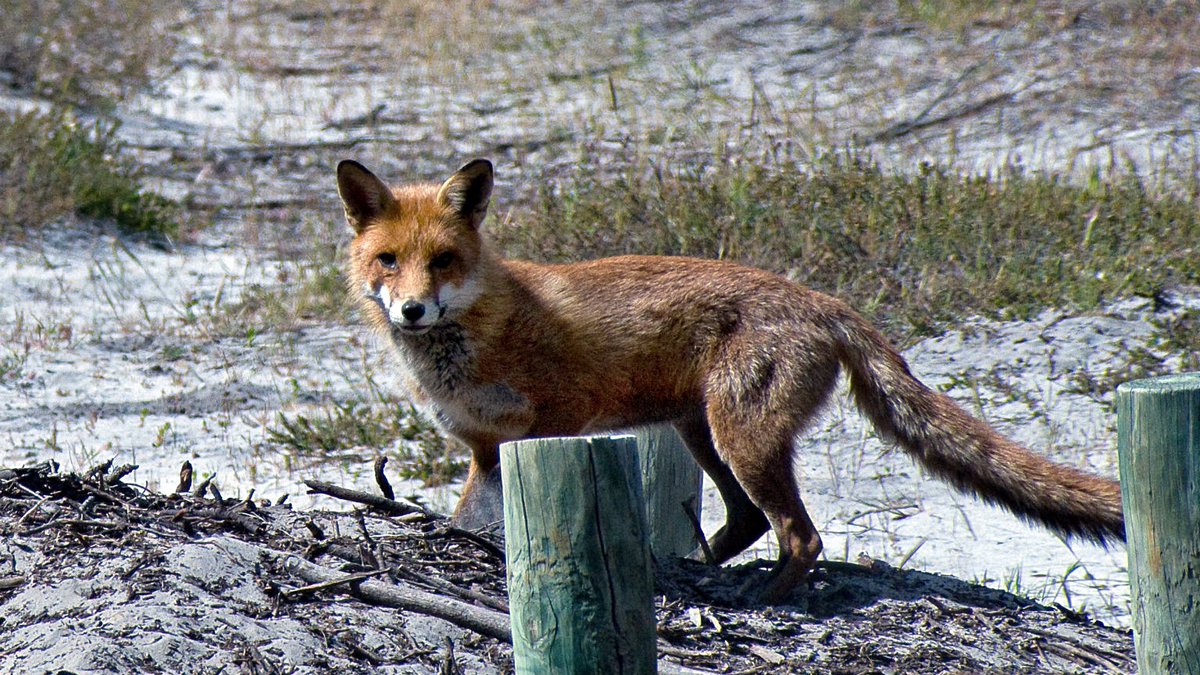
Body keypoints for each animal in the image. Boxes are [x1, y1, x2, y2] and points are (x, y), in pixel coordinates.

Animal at [335, 157, 1125, 603]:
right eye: (387, 260)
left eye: (442, 261)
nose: (412, 310)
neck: (476, 333)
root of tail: (826, 301)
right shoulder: (486, 449)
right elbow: (461, 521)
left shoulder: (553, 424)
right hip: (702, 434)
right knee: (748, 521)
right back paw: (706, 570)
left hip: (740, 438)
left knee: (802, 536)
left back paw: (762, 602)